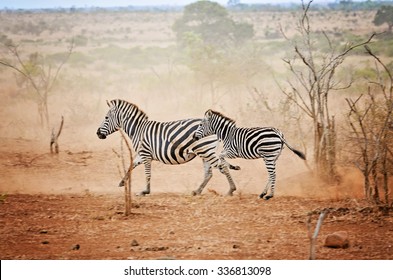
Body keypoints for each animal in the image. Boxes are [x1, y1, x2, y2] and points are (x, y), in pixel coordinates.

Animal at [95, 99, 239, 196]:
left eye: (106, 117)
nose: (97, 133)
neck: (138, 130)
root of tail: (215, 130)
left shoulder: (145, 153)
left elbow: (147, 173)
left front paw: (145, 191)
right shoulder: (141, 154)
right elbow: (132, 165)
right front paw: (122, 182)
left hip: (205, 150)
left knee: (222, 167)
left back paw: (231, 190)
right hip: (204, 152)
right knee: (209, 173)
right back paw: (197, 191)